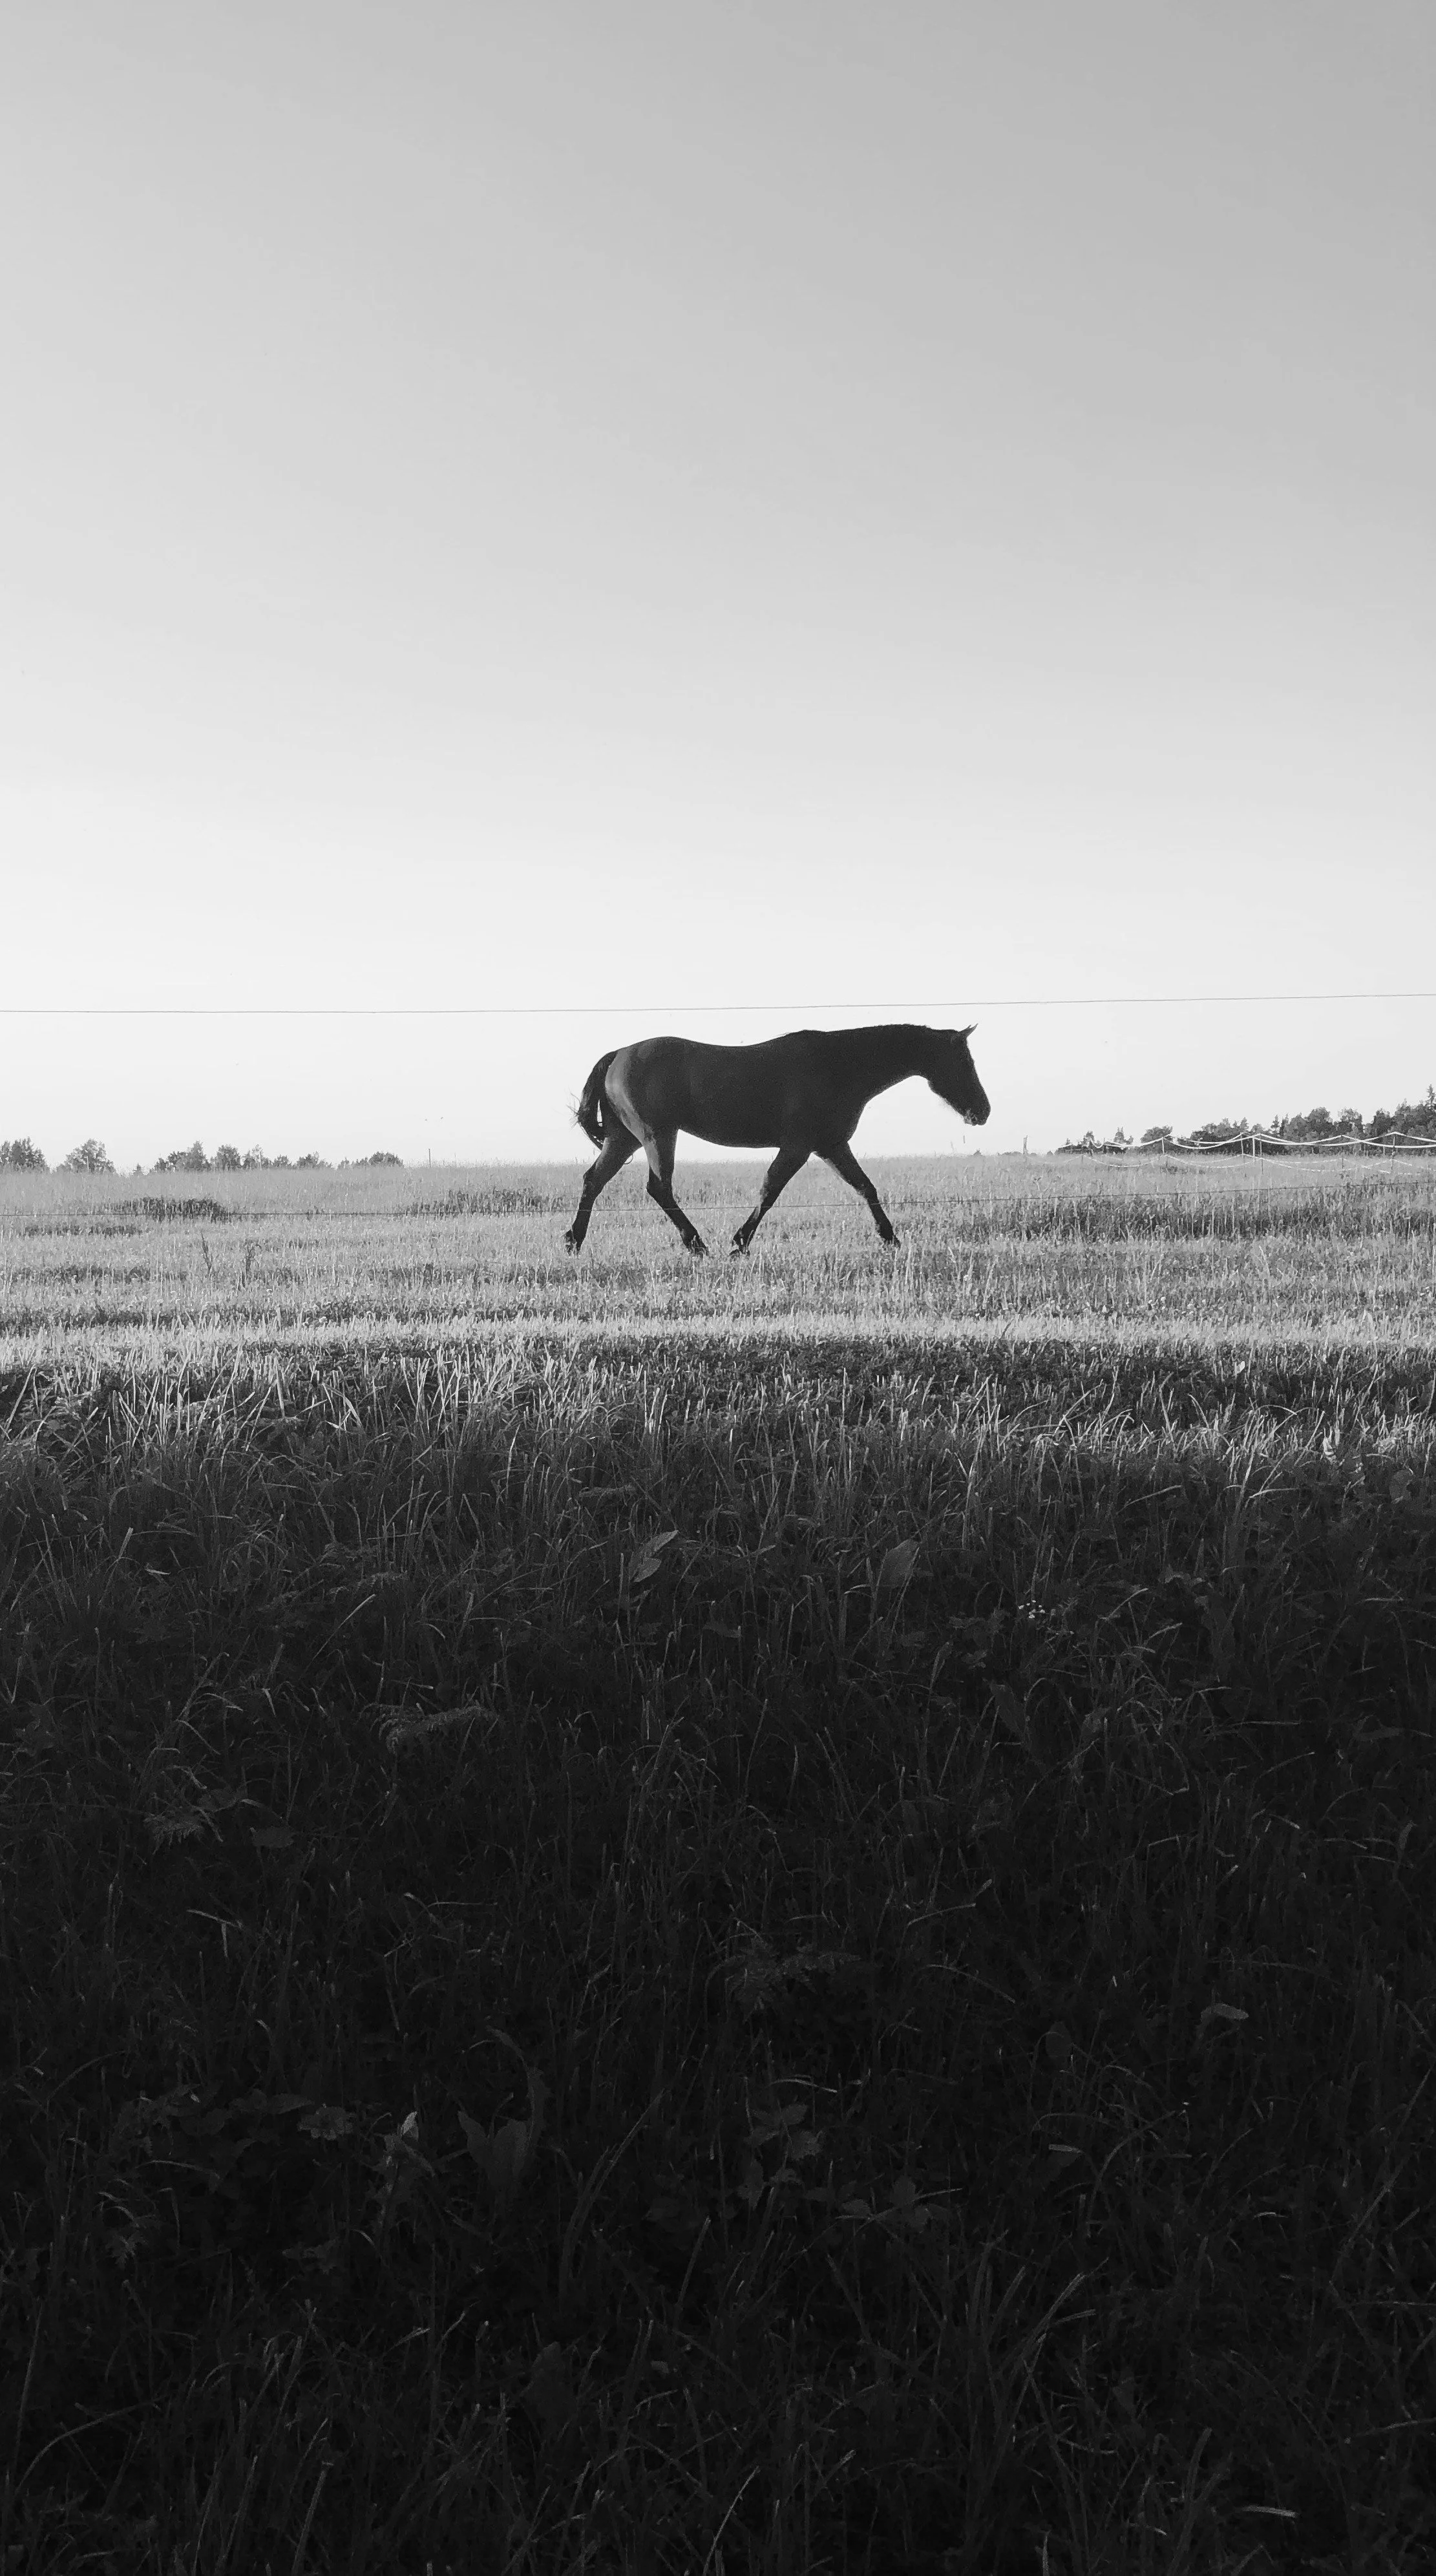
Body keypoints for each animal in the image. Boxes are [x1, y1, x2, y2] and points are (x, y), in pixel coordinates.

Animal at [564, 1023, 990, 1256]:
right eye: (963, 1061)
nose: (982, 1112)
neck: (838, 1065)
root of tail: (618, 1054)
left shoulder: (832, 1146)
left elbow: (865, 1187)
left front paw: (890, 1238)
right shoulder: (800, 1146)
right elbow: (770, 1190)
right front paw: (739, 1243)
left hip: (625, 1140)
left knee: (593, 1181)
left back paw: (574, 1241)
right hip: (657, 1136)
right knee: (659, 1188)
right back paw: (696, 1243)